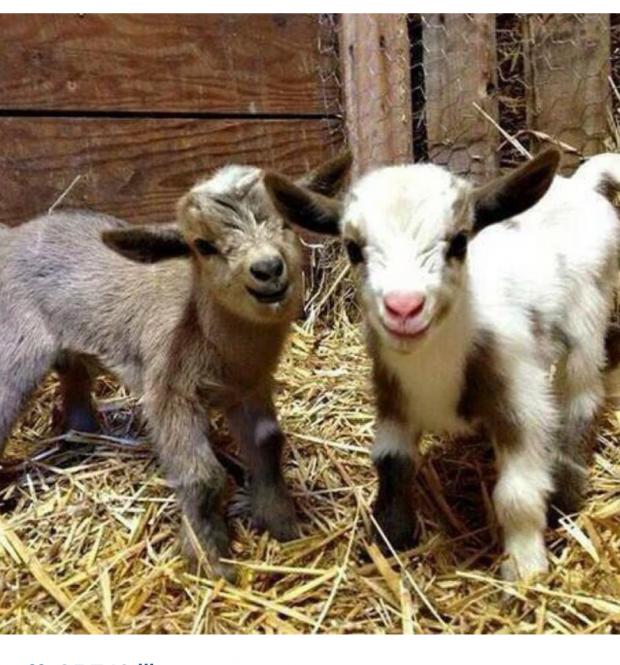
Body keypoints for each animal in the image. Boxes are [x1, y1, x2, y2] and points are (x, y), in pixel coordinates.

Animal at [0, 152, 352, 581]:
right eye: (203, 245)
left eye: (286, 222)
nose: (268, 269)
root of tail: (10, 236)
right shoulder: (169, 392)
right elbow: (204, 478)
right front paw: (208, 558)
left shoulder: (250, 389)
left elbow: (268, 444)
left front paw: (282, 524)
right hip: (14, 345)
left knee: (75, 379)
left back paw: (82, 439)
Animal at [265, 149, 620, 581]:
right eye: (353, 248)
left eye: (459, 242)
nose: (403, 307)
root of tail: (580, 185)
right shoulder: (392, 396)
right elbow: (392, 463)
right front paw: (389, 537)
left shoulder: (521, 400)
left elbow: (516, 495)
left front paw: (525, 569)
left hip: (588, 316)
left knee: (581, 398)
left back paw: (567, 495)